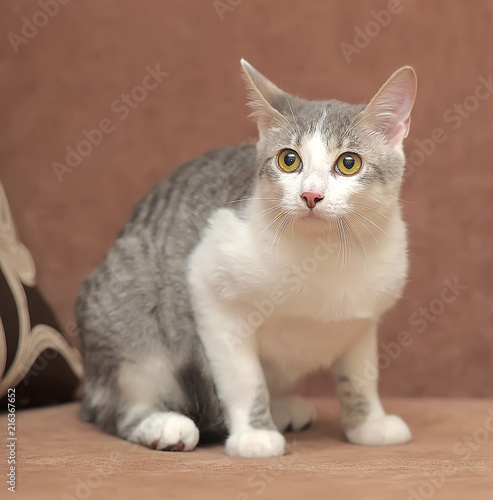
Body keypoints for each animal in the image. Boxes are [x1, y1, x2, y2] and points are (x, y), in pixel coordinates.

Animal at [76, 58, 416, 458]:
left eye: (349, 163)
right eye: (289, 161)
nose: (311, 195)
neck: (322, 254)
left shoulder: (361, 321)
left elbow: (361, 377)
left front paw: (368, 423)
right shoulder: (211, 293)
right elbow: (244, 379)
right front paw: (254, 434)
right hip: (130, 307)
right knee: (117, 406)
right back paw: (161, 424)